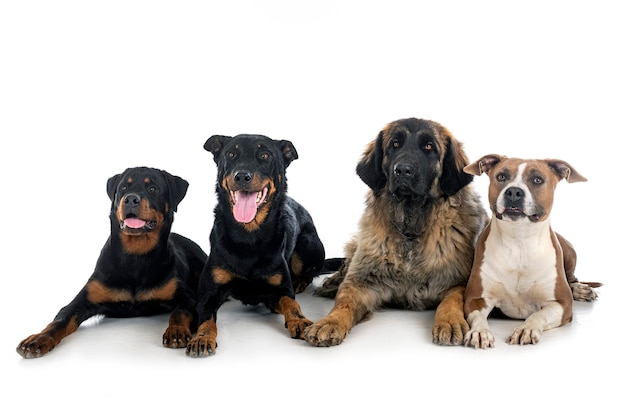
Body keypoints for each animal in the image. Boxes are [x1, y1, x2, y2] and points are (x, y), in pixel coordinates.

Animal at [15, 166, 206, 358]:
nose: (130, 199)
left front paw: (176, 331)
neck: (135, 256)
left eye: (153, 189)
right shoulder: (82, 300)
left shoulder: (188, 297)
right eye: (123, 188)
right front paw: (38, 339)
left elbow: (179, 312)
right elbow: (61, 319)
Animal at [184, 135, 326, 358]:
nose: (242, 176)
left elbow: (291, 302)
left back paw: (300, 282)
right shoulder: (207, 295)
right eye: (231, 154)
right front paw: (202, 338)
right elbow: (206, 320)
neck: (248, 237)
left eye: (265, 155)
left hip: (307, 243)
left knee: (311, 271)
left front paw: (299, 320)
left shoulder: (280, 290)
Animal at [302, 116, 488, 344]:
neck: (410, 229)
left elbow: (451, 301)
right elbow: (345, 301)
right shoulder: (363, 281)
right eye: (395, 144)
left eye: (429, 147)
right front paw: (329, 322)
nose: (403, 170)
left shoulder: (458, 281)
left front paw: (450, 322)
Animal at [464, 155, 600, 346]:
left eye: (537, 180)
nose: (513, 192)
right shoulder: (475, 299)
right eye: (501, 176)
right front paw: (480, 331)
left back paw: (581, 290)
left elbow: (539, 315)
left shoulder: (562, 303)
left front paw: (526, 329)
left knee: (572, 279)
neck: (519, 241)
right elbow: (477, 317)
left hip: (570, 251)